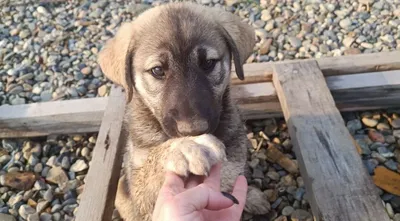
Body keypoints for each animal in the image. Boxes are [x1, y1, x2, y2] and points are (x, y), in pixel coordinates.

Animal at [98, 2, 270, 221]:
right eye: (157, 70)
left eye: (208, 63)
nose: (193, 131)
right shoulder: (140, 194)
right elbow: (151, 167)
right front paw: (185, 147)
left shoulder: (235, 160)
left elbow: (233, 175)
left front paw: (250, 196)